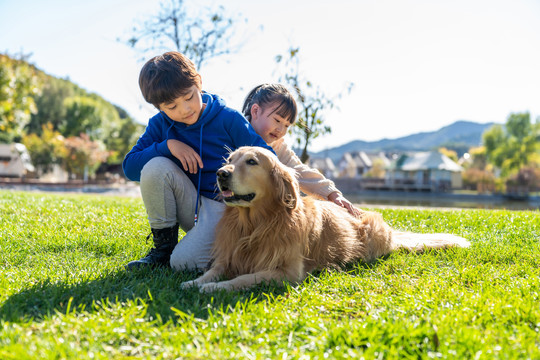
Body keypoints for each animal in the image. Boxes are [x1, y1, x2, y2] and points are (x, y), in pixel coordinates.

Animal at [181, 146, 468, 292]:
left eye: (251, 161)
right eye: (229, 159)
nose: (220, 173)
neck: (256, 224)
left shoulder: (287, 271)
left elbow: (244, 279)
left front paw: (215, 288)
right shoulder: (229, 256)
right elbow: (212, 271)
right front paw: (195, 281)